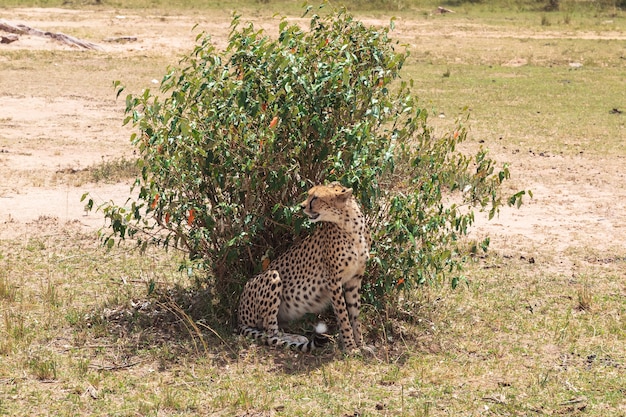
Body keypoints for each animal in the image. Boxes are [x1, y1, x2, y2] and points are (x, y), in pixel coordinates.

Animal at [236, 182, 368, 352]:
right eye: (309, 195)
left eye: (315, 198)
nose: (301, 206)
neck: (350, 226)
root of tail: (239, 318)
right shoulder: (333, 280)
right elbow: (343, 315)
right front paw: (351, 347)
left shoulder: (354, 279)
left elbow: (354, 314)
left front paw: (361, 344)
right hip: (272, 274)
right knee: (269, 331)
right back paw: (295, 338)